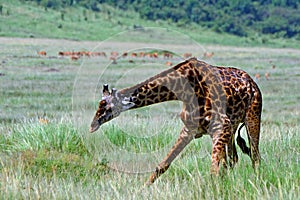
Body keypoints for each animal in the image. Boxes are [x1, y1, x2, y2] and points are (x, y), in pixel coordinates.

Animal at [89, 57, 262, 184]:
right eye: (99, 104)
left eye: (108, 108)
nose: (92, 126)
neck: (184, 90)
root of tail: (252, 83)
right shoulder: (190, 129)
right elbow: (163, 165)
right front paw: (142, 188)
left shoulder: (221, 126)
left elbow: (214, 169)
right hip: (233, 127)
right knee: (233, 159)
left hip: (252, 117)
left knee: (255, 157)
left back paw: (257, 182)